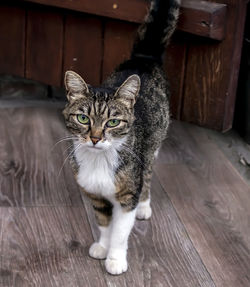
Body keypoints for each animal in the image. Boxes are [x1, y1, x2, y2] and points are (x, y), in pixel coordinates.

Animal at [62, 0, 180, 276]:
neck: (98, 162)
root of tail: (142, 59)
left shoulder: (127, 196)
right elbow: (104, 223)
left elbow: (120, 230)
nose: (95, 138)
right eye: (83, 119)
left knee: (148, 173)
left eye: (112, 122)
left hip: (153, 145)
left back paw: (145, 206)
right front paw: (102, 247)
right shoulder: (95, 195)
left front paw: (115, 260)